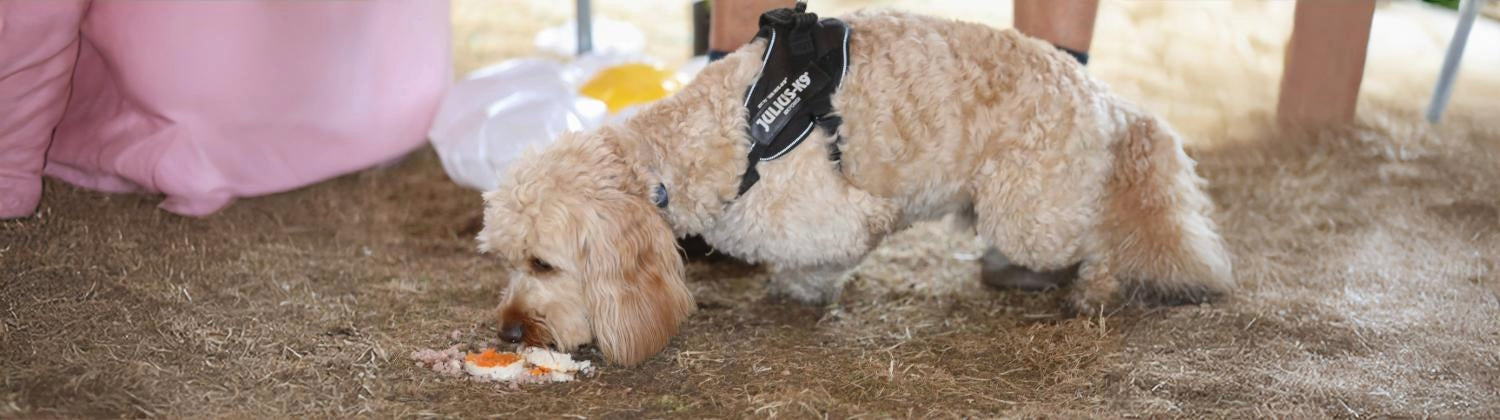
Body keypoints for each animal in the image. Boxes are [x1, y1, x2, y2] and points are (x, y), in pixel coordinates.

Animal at [477, 9, 1230, 364]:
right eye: (506, 260)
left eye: (543, 263)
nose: (508, 331)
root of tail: (1107, 101)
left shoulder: (846, 215)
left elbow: (827, 249)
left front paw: (807, 287)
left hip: (1031, 214)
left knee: (1102, 235)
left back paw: (1092, 286)